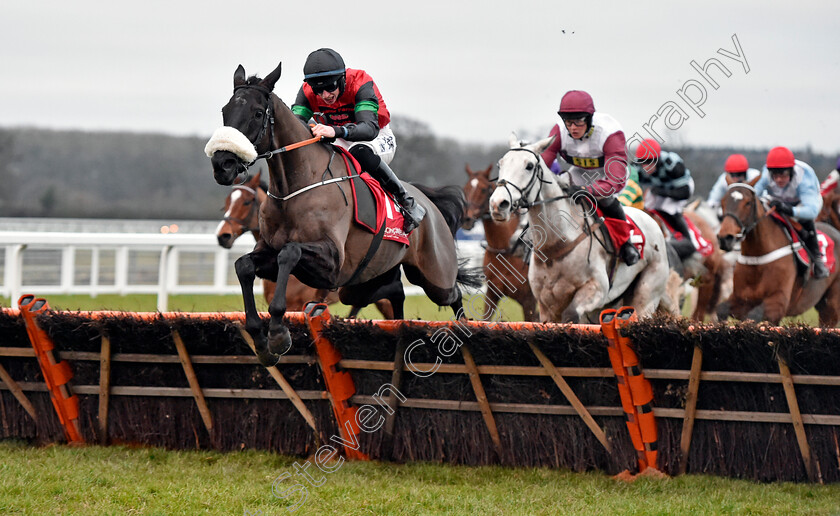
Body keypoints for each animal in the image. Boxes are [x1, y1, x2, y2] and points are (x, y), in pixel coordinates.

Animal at [460, 163, 540, 320]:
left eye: (484, 189)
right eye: (465, 189)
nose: (466, 219)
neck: (505, 249)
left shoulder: (529, 302)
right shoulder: (491, 294)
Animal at [716, 180, 840, 326]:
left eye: (748, 203)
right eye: (723, 201)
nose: (725, 238)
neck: (757, 258)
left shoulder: (778, 303)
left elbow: (754, 315)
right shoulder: (740, 297)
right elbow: (721, 309)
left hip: (831, 305)